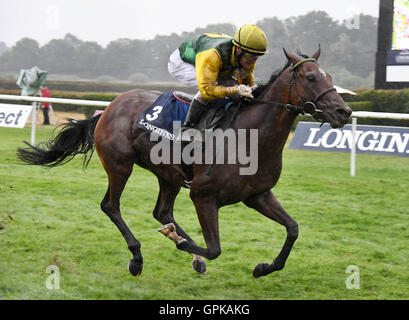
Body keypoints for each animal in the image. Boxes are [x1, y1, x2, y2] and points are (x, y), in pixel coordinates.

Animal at [18, 47, 350, 278]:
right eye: (310, 77)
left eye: (331, 78)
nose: (344, 112)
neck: (249, 137)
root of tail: (110, 107)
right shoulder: (204, 196)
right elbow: (215, 249)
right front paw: (182, 244)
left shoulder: (257, 195)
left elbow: (293, 229)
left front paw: (263, 268)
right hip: (120, 165)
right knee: (111, 206)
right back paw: (138, 257)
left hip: (169, 175)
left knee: (162, 211)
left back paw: (184, 248)